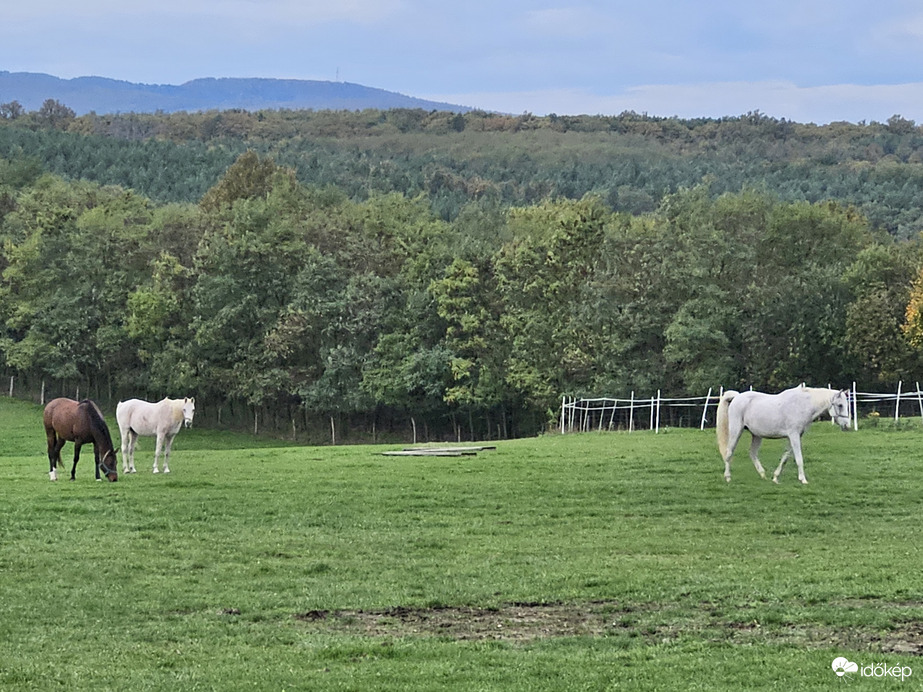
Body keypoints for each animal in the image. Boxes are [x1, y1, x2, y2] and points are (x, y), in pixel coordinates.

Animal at [716, 384, 852, 486]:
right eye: (840, 405)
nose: (847, 426)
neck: (802, 405)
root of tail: (736, 397)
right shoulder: (794, 435)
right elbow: (799, 458)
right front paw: (803, 480)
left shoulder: (795, 436)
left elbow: (785, 457)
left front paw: (775, 478)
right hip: (736, 431)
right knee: (729, 452)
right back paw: (728, 477)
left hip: (757, 435)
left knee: (752, 453)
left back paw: (763, 475)